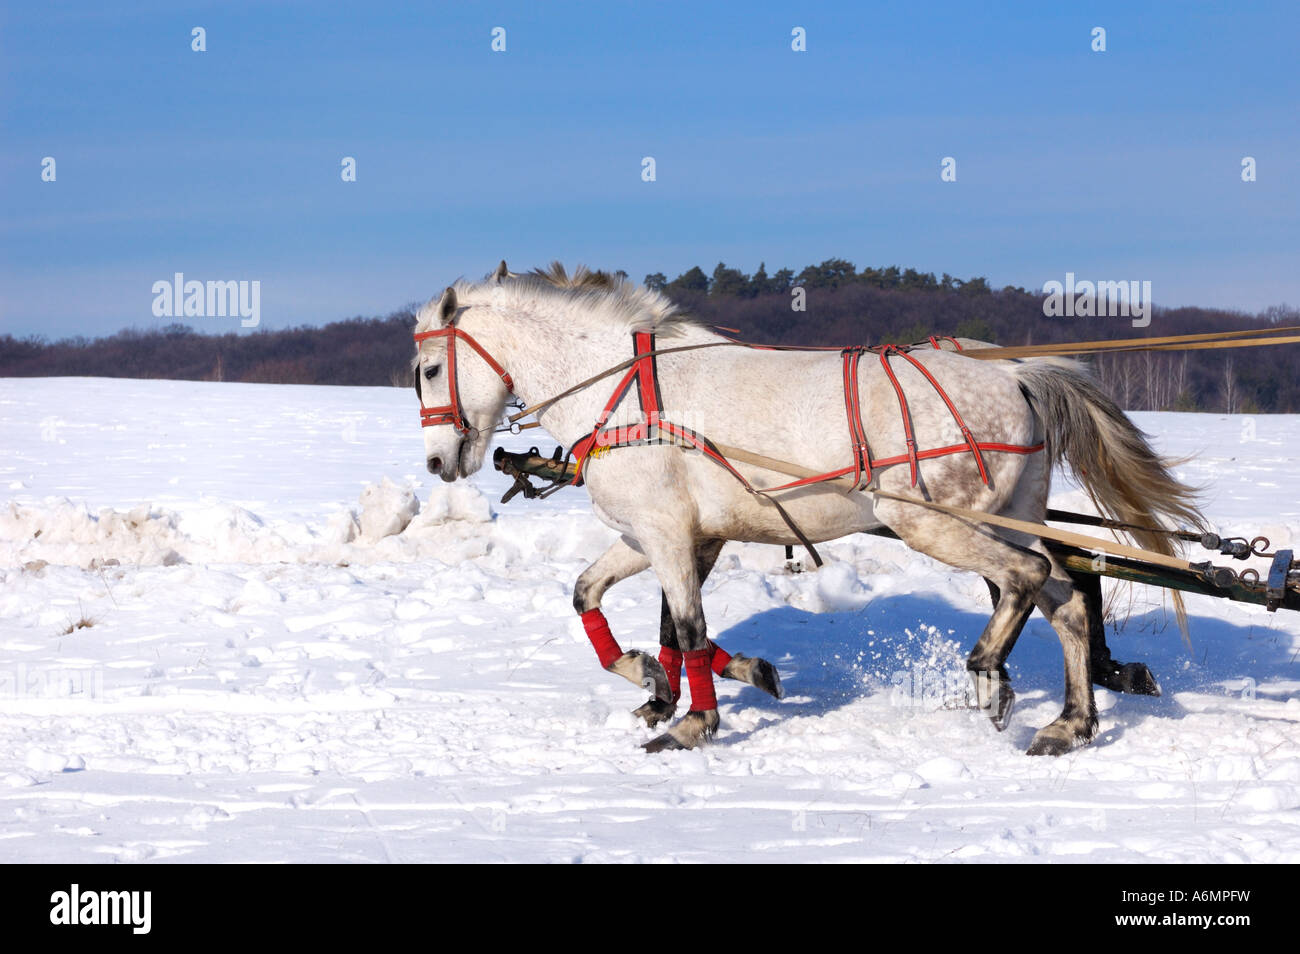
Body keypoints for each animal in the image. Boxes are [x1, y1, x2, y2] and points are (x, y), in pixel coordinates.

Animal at [412, 263, 1204, 755]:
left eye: (428, 367)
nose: (438, 463)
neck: (625, 389)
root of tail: (1016, 373)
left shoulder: (667, 535)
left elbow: (689, 630)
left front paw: (693, 720)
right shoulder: (667, 537)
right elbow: (600, 602)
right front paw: (658, 681)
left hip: (937, 523)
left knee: (1028, 578)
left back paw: (990, 675)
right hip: (1010, 513)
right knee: (1068, 597)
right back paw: (1070, 723)